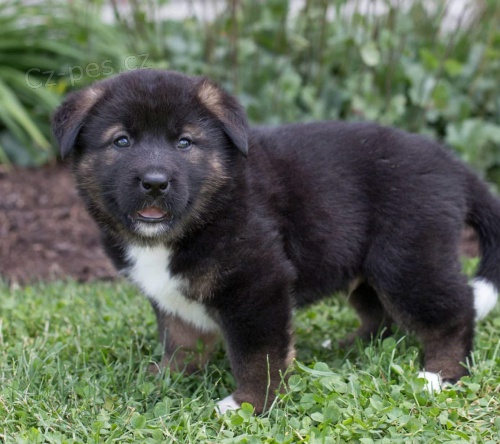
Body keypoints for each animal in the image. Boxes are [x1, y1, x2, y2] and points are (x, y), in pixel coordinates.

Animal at [52, 69, 500, 412]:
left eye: (184, 142)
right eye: (121, 141)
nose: (155, 183)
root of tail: (453, 165)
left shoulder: (257, 284)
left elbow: (258, 354)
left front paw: (249, 404)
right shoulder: (172, 295)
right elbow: (180, 340)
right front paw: (167, 377)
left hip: (406, 257)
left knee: (455, 309)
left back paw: (440, 373)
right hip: (369, 265)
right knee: (380, 313)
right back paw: (350, 346)